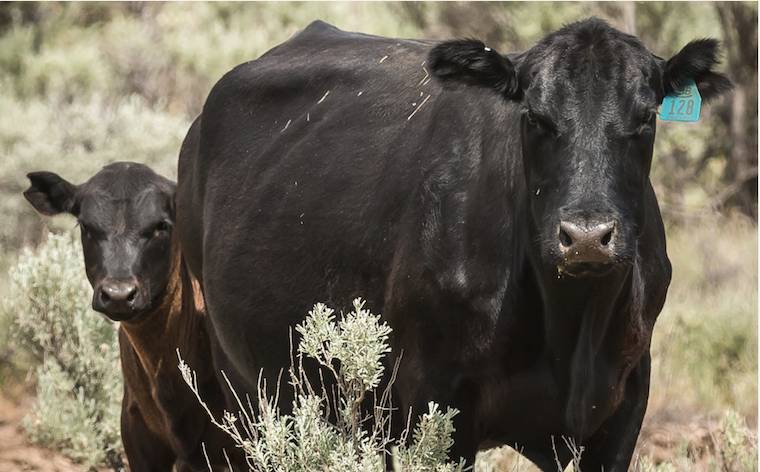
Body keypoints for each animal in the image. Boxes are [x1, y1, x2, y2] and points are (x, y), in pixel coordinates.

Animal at [176, 18, 731, 470]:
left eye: (646, 118)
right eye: (535, 117)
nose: (587, 238)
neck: (571, 325)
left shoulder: (624, 404)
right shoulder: (436, 403)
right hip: (244, 388)